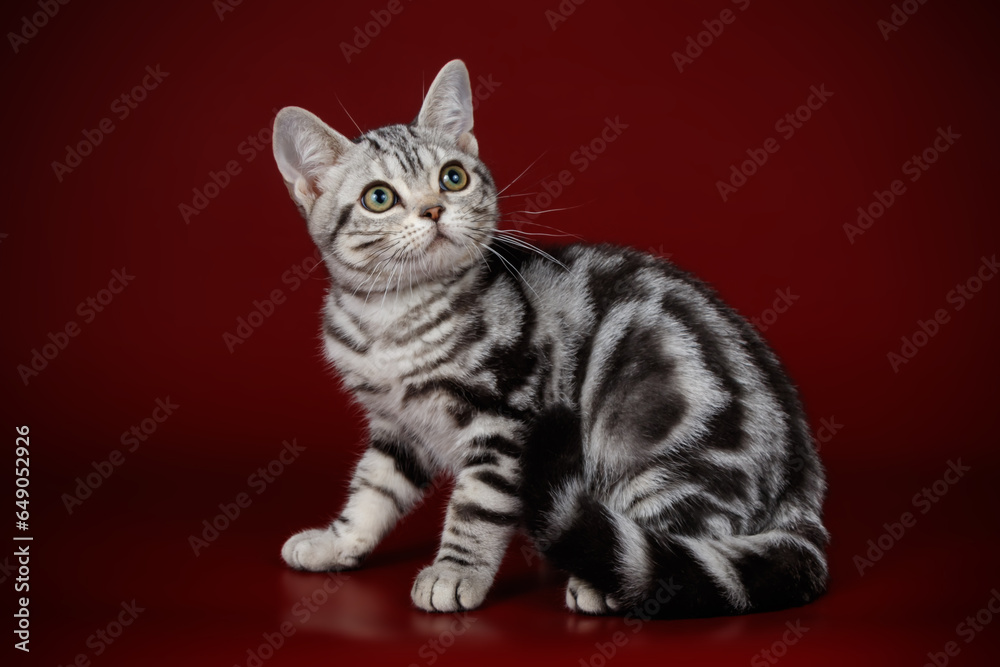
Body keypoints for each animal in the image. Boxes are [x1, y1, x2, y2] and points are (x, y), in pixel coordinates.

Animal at [272, 60, 828, 620]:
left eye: (453, 177)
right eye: (379, 197)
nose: (432, 210)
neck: (391, 320)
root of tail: (802, 482)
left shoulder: (506, 419)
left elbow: (477, 507)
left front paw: (455, 572)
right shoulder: (398, 427)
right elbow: (373, 490)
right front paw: (336, 542)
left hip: (660, 451)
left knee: (685, 547)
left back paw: (605, 583)